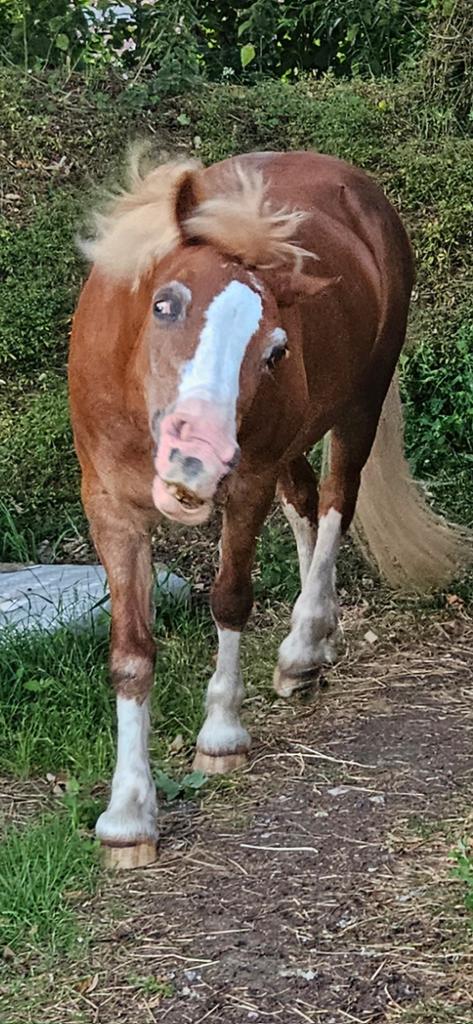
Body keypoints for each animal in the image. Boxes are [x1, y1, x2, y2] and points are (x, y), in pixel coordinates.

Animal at [69, 149, 470, 868]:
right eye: (165, 305)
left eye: (274, 350)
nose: (195, 459)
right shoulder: (110, 508)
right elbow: (131, 653)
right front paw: (129, 814)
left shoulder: (246, 484)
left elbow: (230, 599)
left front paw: (221, 733)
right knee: (305, 501)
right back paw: (319, 641)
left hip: (358, 406)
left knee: (336, 502)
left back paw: (303, 644)